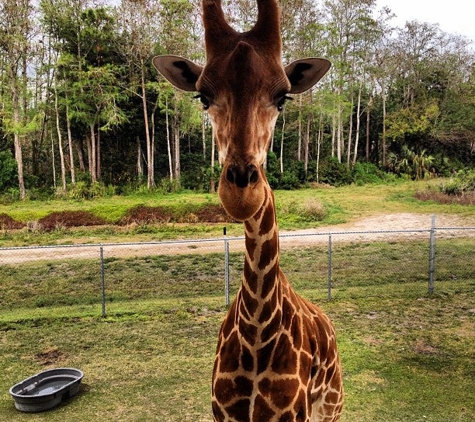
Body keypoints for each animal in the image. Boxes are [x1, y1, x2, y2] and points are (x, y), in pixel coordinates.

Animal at [154, 1, 344, 420]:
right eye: (202, 97)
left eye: (283, 97)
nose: (242, 194)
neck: (257, 334)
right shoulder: (222, 414)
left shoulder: (296, 414)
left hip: (332, 405)